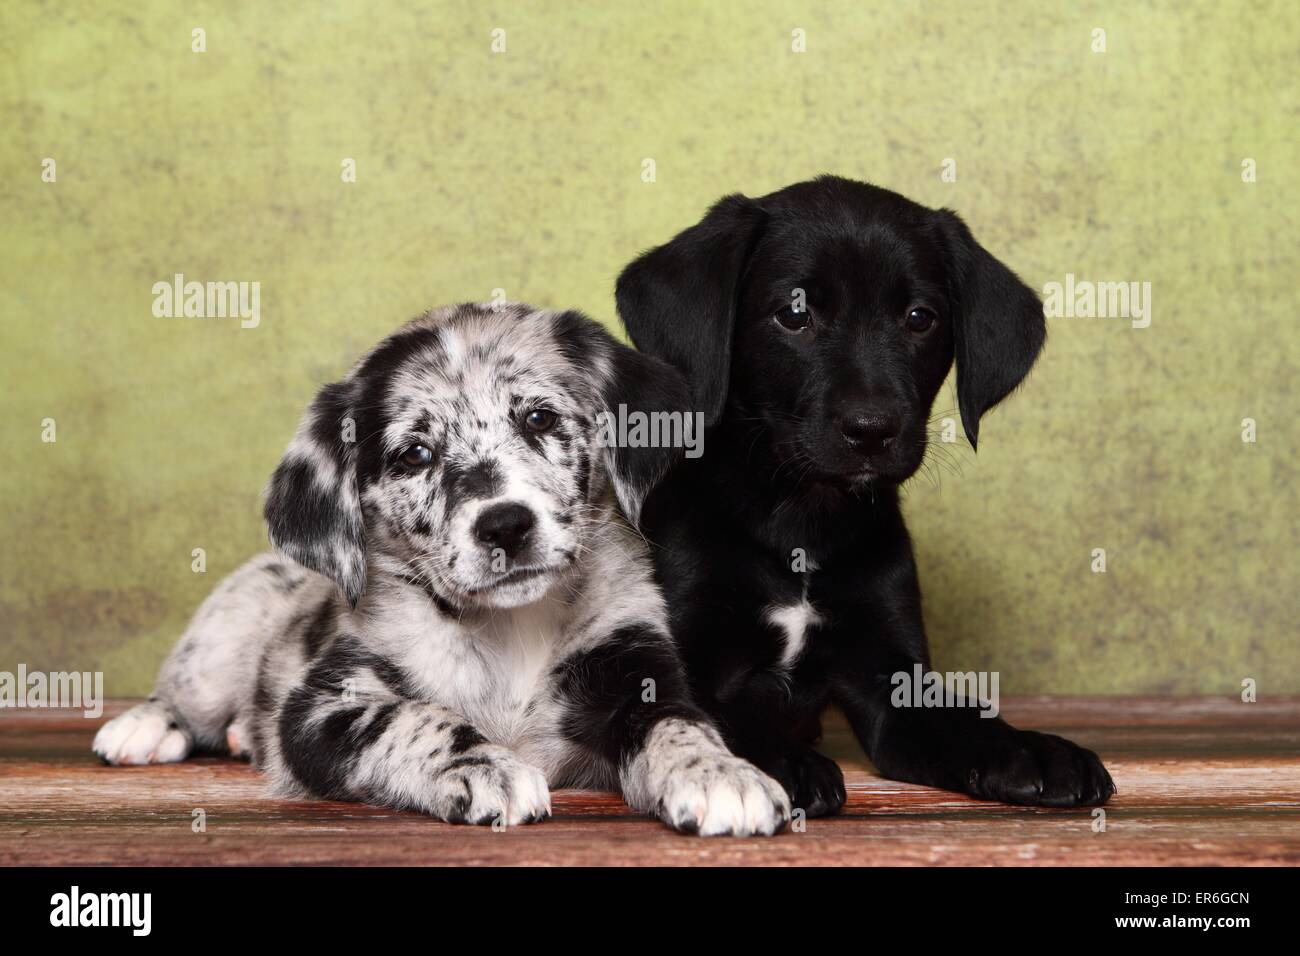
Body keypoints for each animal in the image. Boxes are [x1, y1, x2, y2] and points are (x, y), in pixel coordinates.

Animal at [94, 303, 790, 832]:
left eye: (539, 418)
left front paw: (721, 773)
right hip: (219, 642)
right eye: (415, 455)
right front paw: (484, 767)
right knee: (184, 696)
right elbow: (412, 719)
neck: (511, 632)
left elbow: (677, 724)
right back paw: (144, 728)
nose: (504, 525)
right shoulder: (322, 707)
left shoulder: (634, 664)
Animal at [618, 174, 1118, 816]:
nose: (872, 429)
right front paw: (781, 762)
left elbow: (964, 720)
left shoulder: (895, 684)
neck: (802, 522)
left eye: (920, 318)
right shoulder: (674, 660)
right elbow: (717, 715)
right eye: (793, 315)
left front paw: (1031, 749)